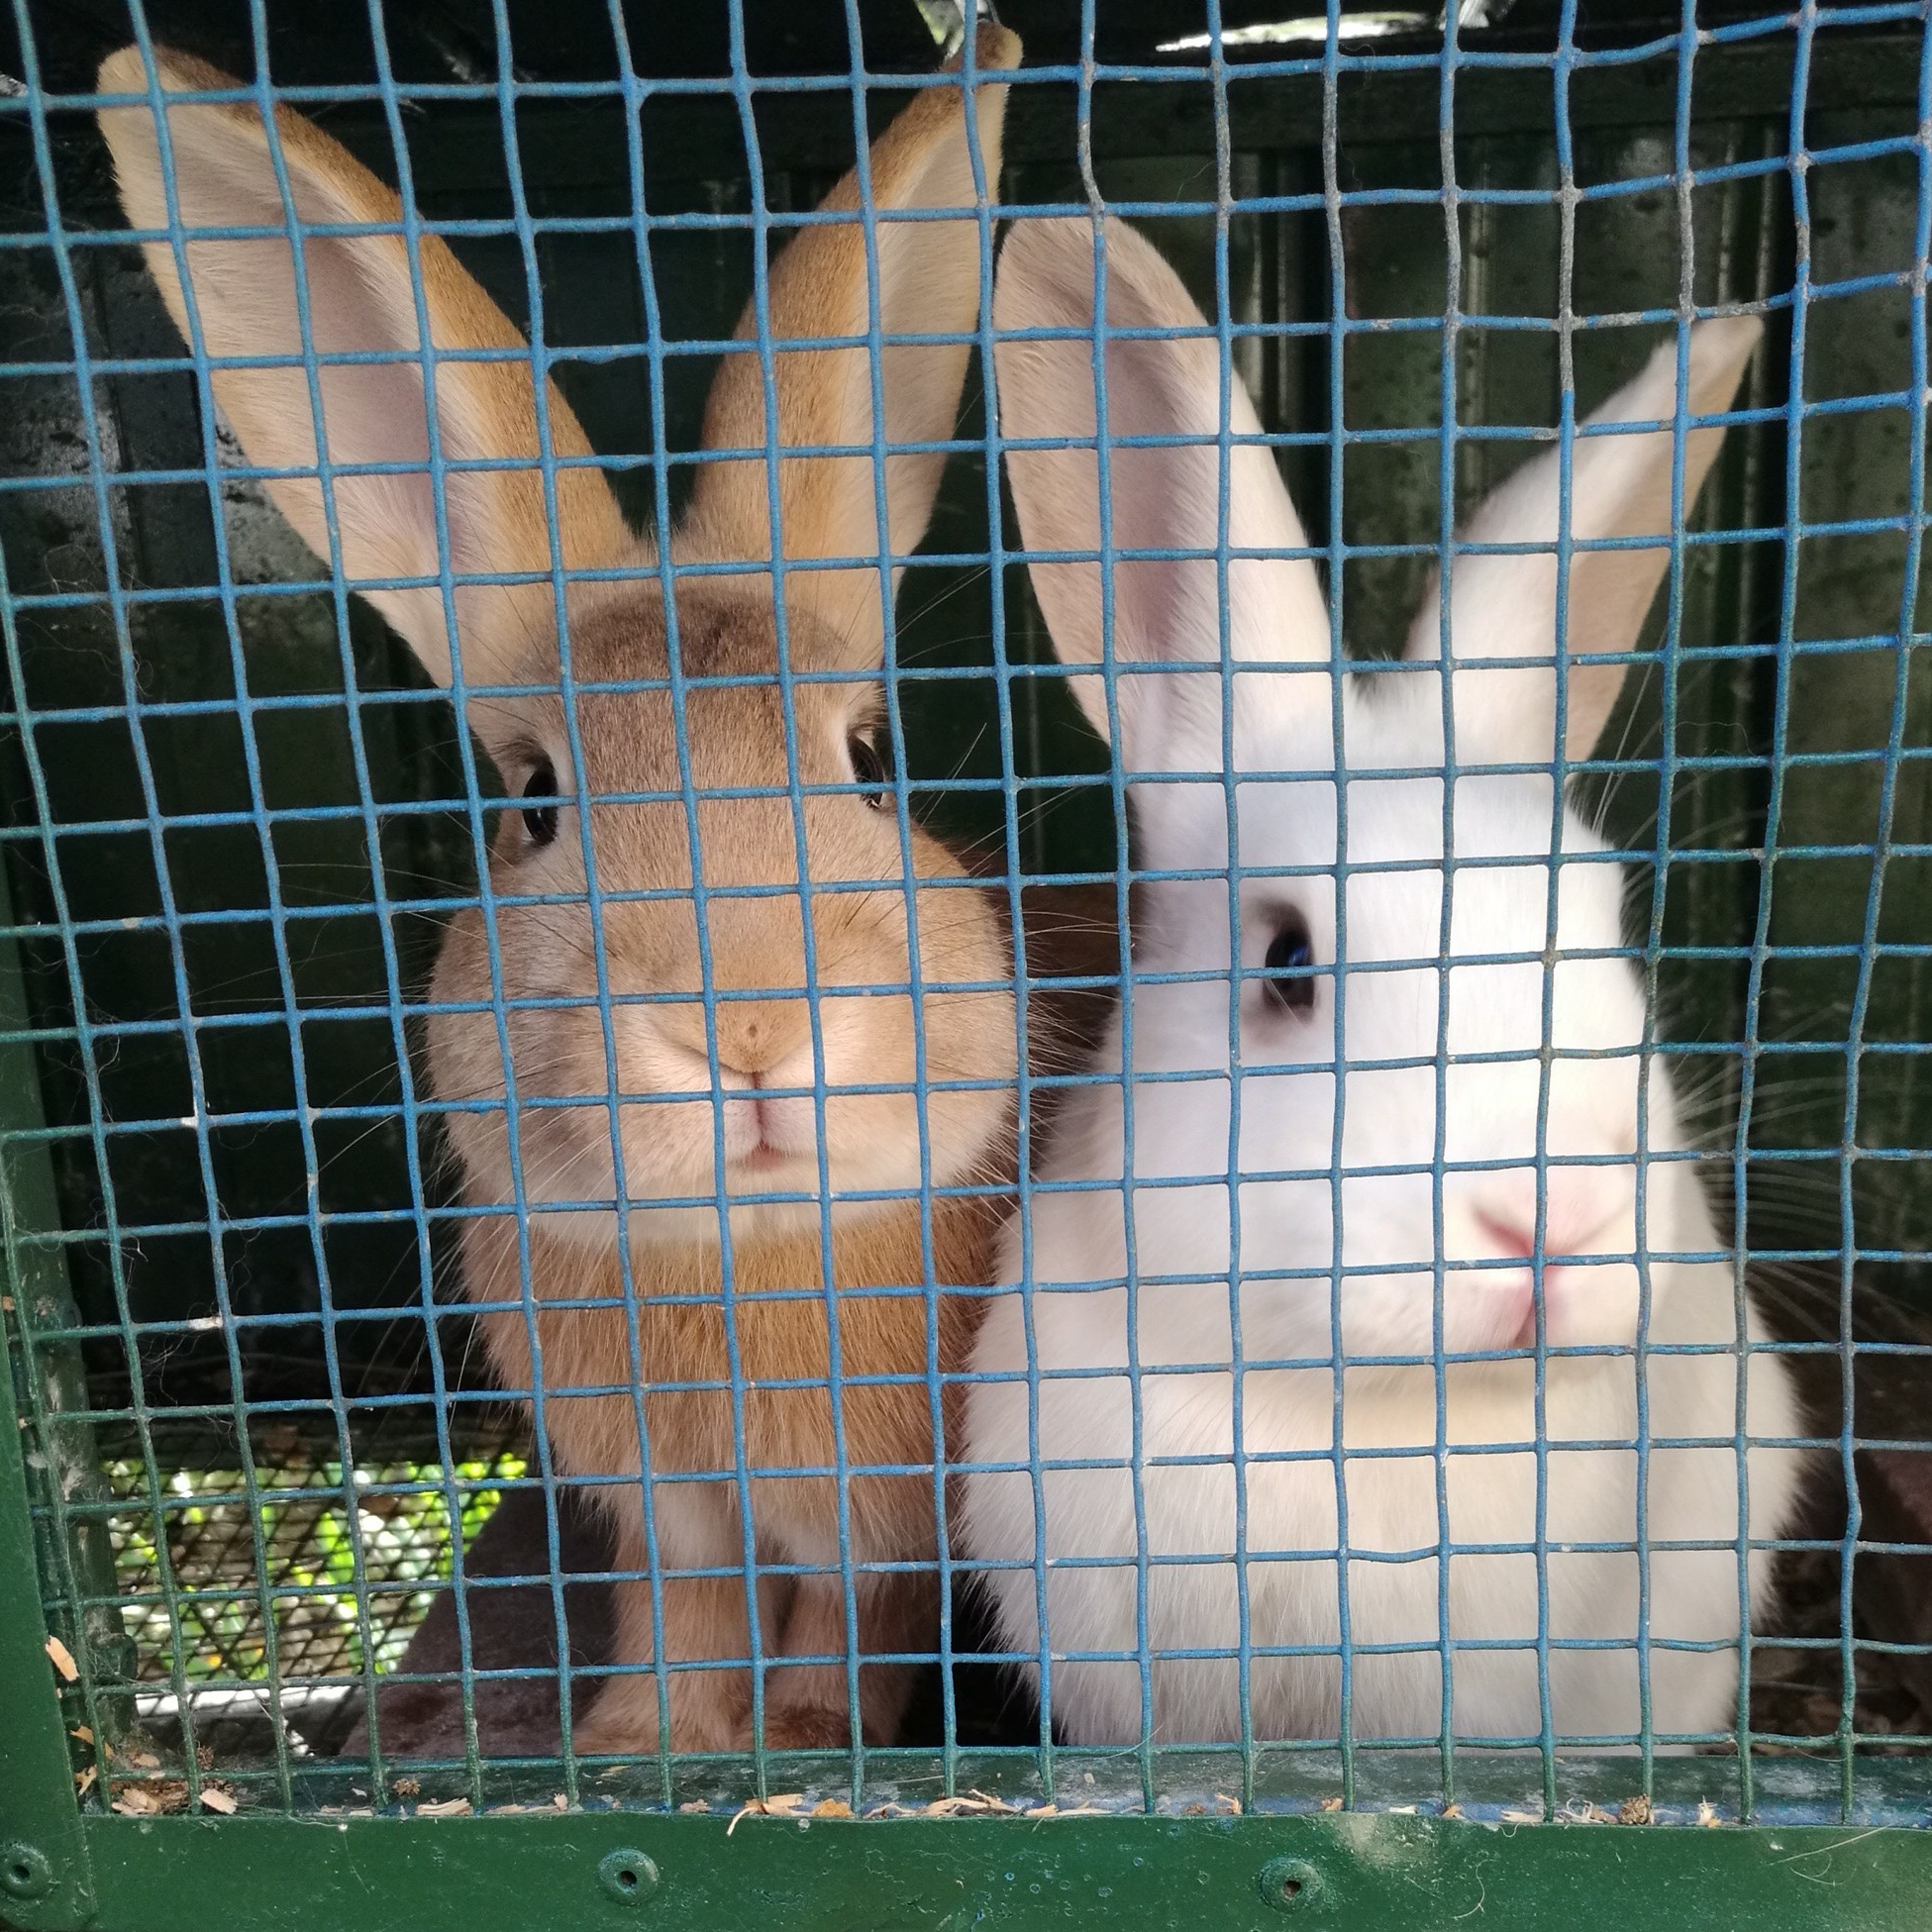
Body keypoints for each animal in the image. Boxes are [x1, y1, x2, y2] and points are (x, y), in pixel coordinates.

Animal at [97, 27, 1022, 1756]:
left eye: (870, 760)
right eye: (532, 801)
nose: (746, 1028)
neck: (730, 1254)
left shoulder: (873, 1511)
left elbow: (845, 1624)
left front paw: (810, 1739)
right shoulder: (664, 1504)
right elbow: (684, 1612)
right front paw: (641, 1739)